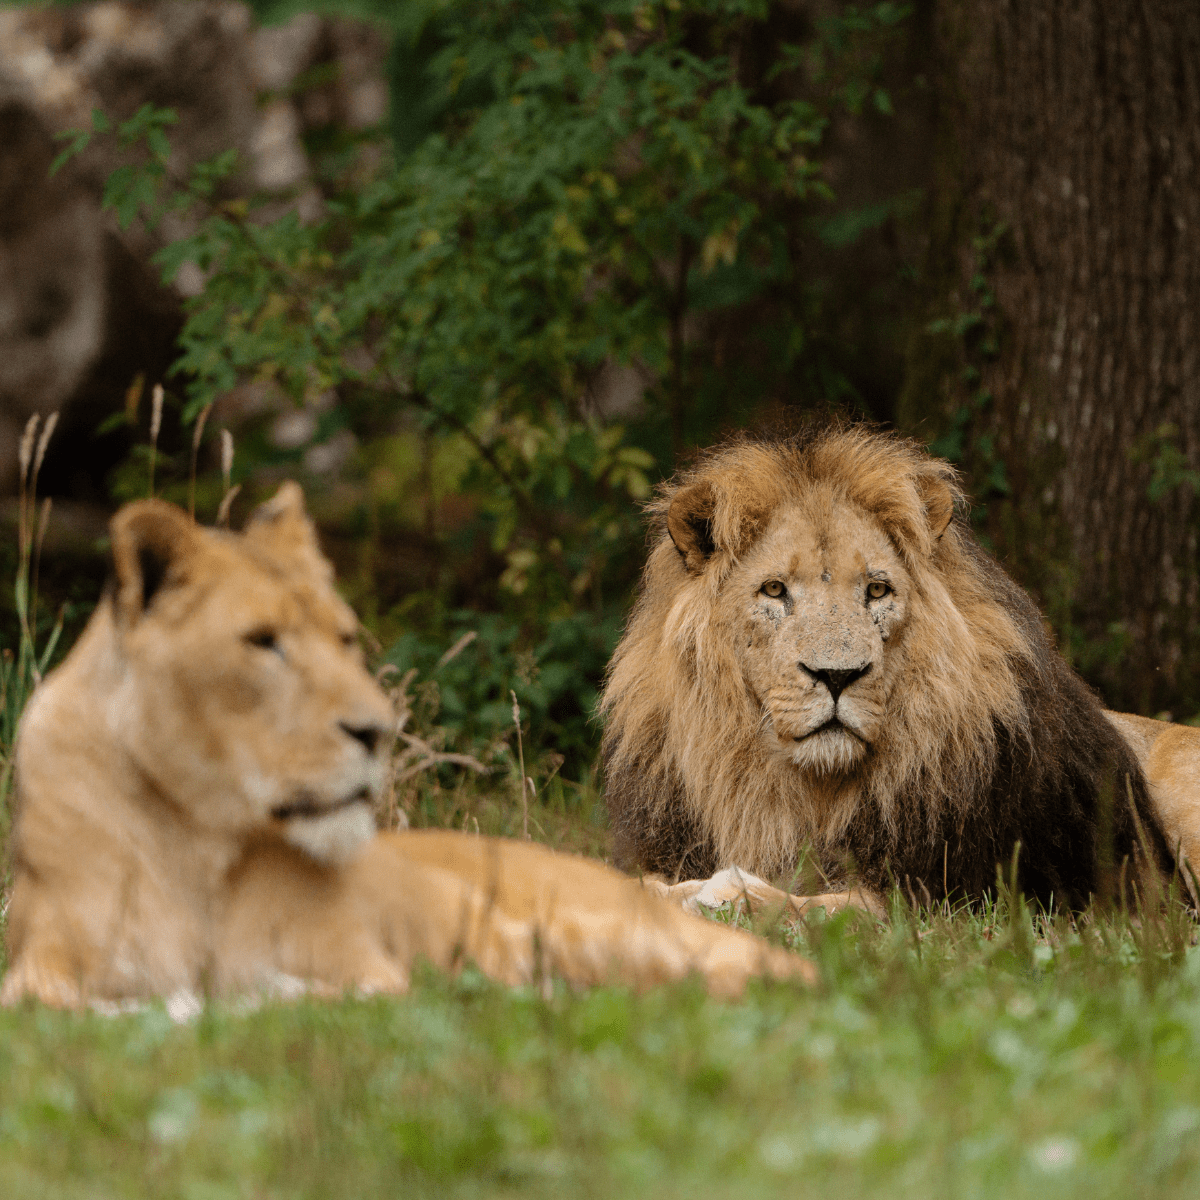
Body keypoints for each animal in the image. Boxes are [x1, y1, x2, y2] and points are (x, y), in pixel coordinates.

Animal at [0, 484, 812, 1009]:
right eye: (264, 643)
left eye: (343, 638)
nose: (377, 731)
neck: (192, 838)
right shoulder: (40, 963)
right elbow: (51, 1003)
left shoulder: (368, 968)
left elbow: (311, 996)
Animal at [600, 425, 1190, 915]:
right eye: (773, 590)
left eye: (877, 590)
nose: (838, 676)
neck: (802, 793)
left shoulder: (947, 893)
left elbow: (833, 904)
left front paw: (731, 892)